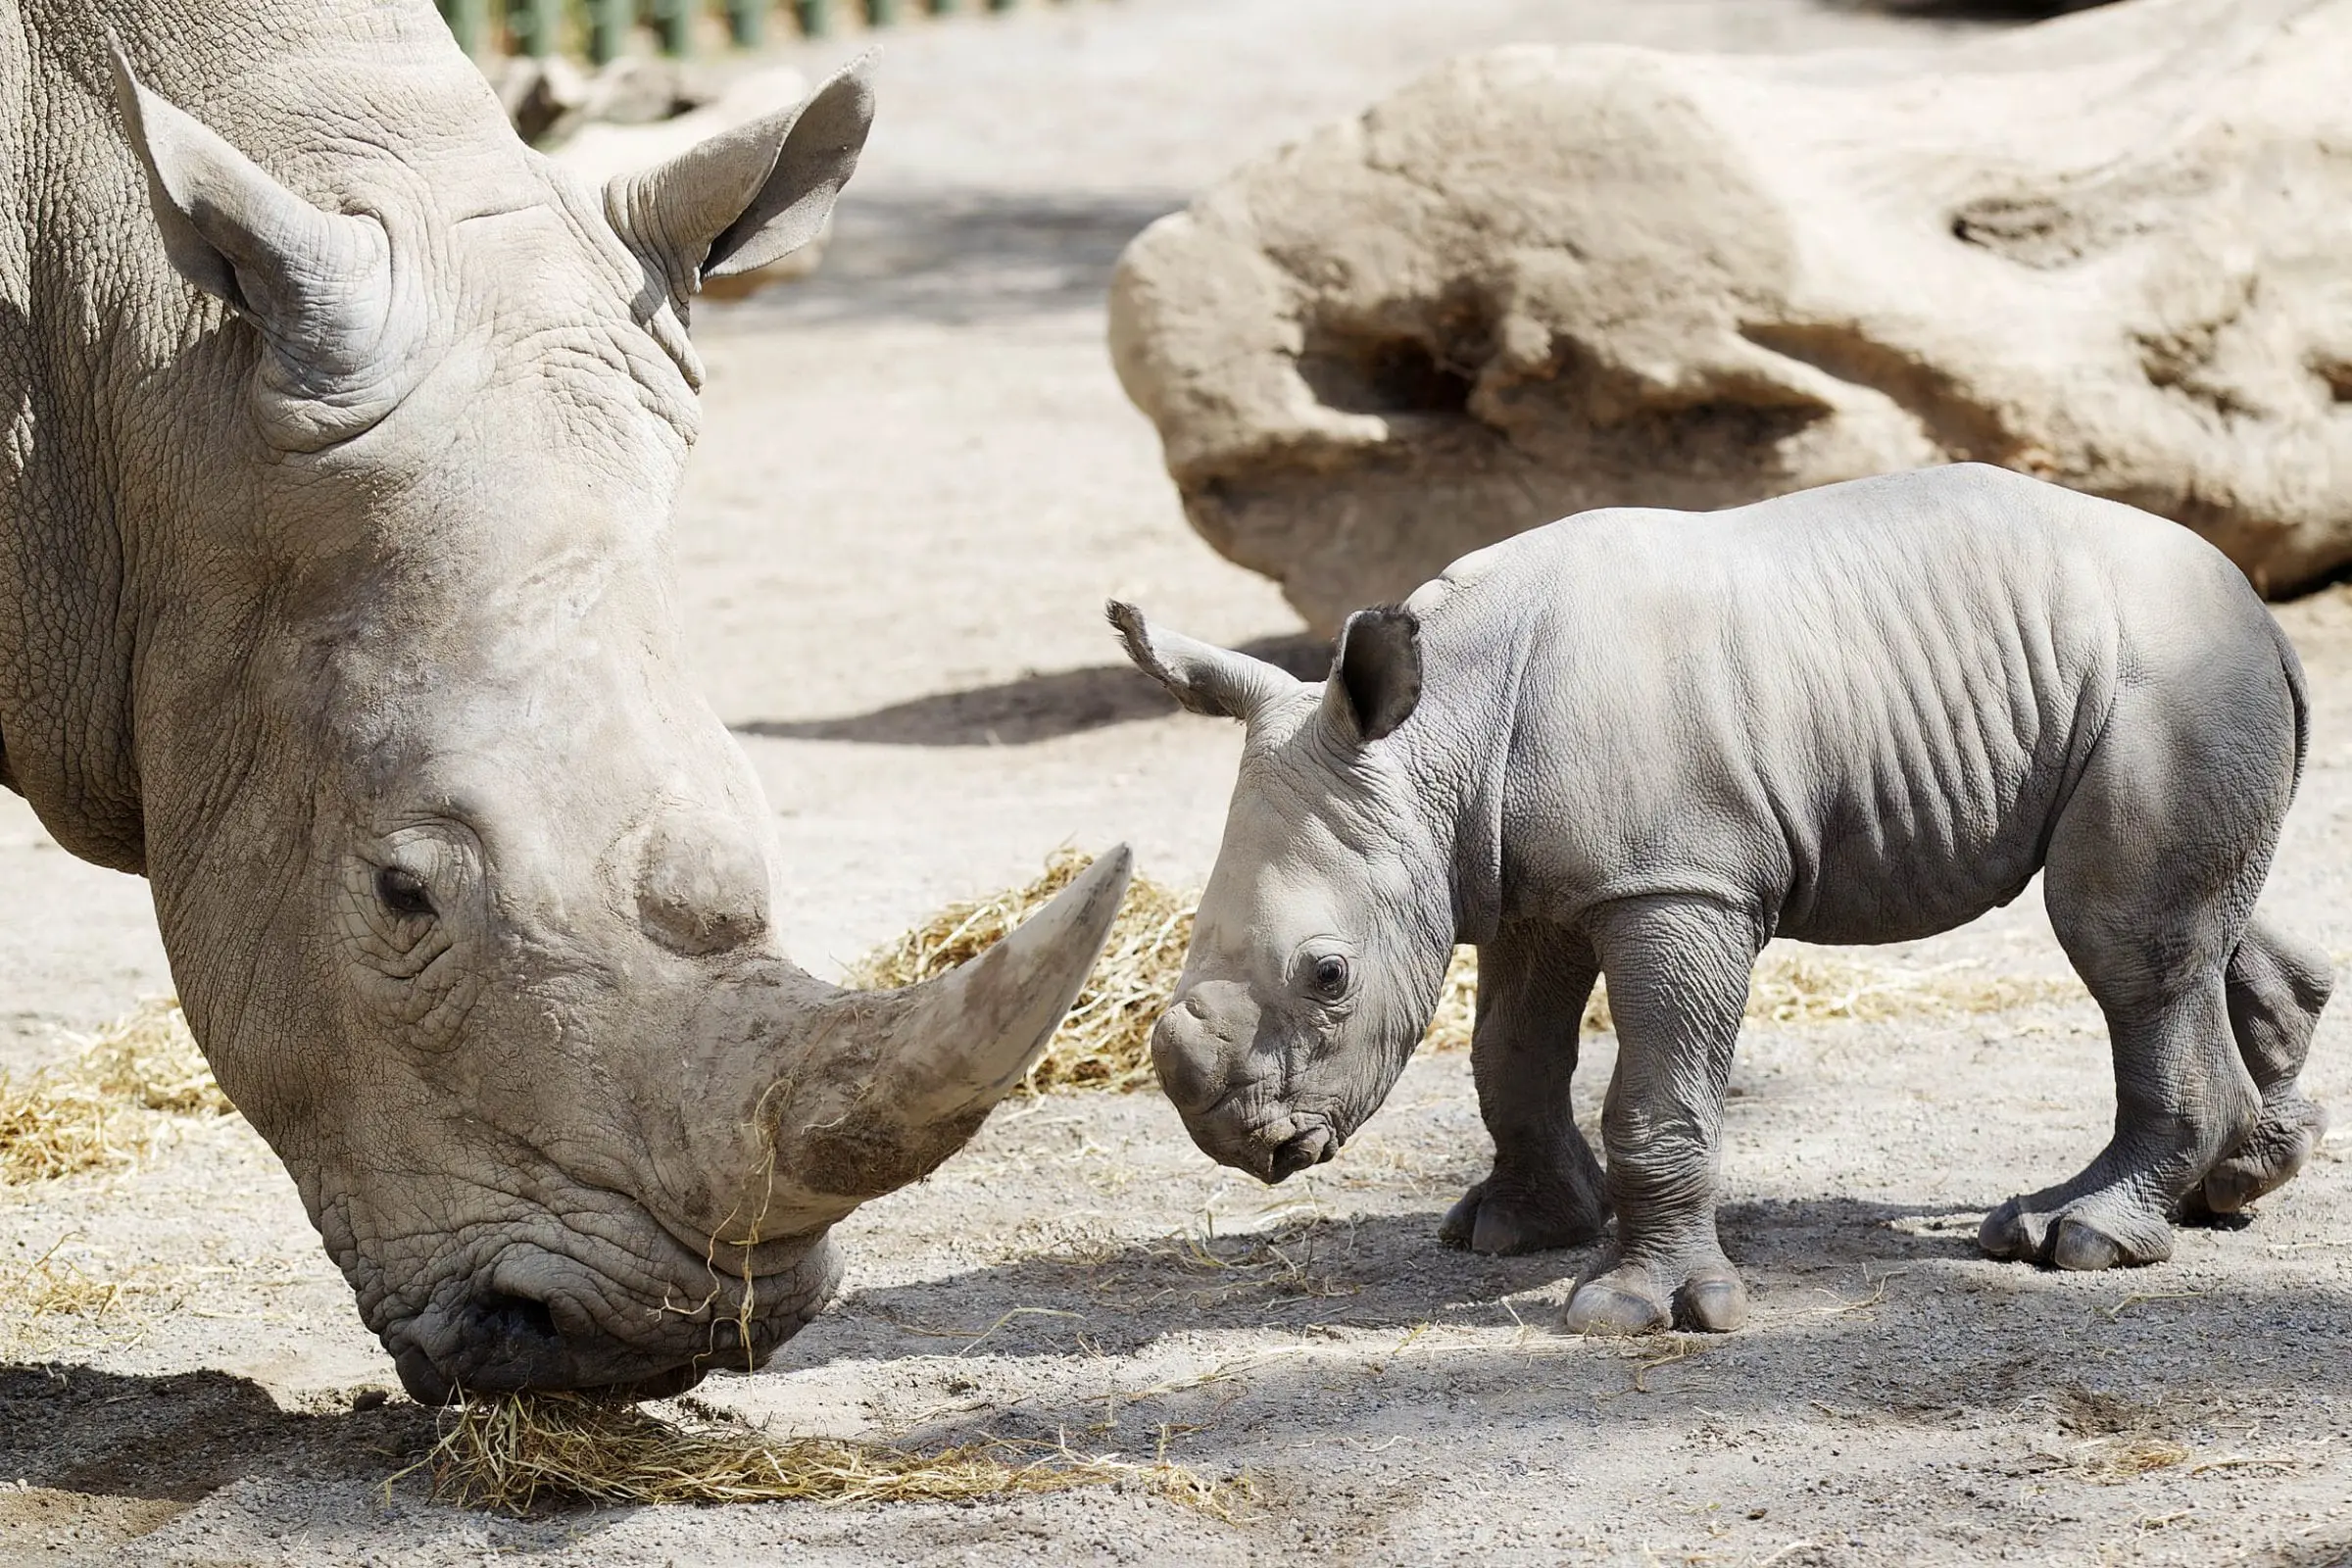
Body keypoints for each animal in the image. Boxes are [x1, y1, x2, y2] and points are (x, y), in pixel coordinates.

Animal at [1113, 464, 2331, 1335]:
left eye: (1329, 975)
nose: (1232, 1139)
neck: (1441, 735)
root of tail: (2263, 613)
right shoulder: (1534, 884)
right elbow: (1509, 1058)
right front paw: (1519, 1231)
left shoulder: (1678, 883)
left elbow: (1654, 1095)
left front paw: (1627, 1309)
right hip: (2155, 680)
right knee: (2199, 928)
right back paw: (2235, 1180)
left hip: (2167, 679)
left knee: (2122, 944)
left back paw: (2073, 1237)